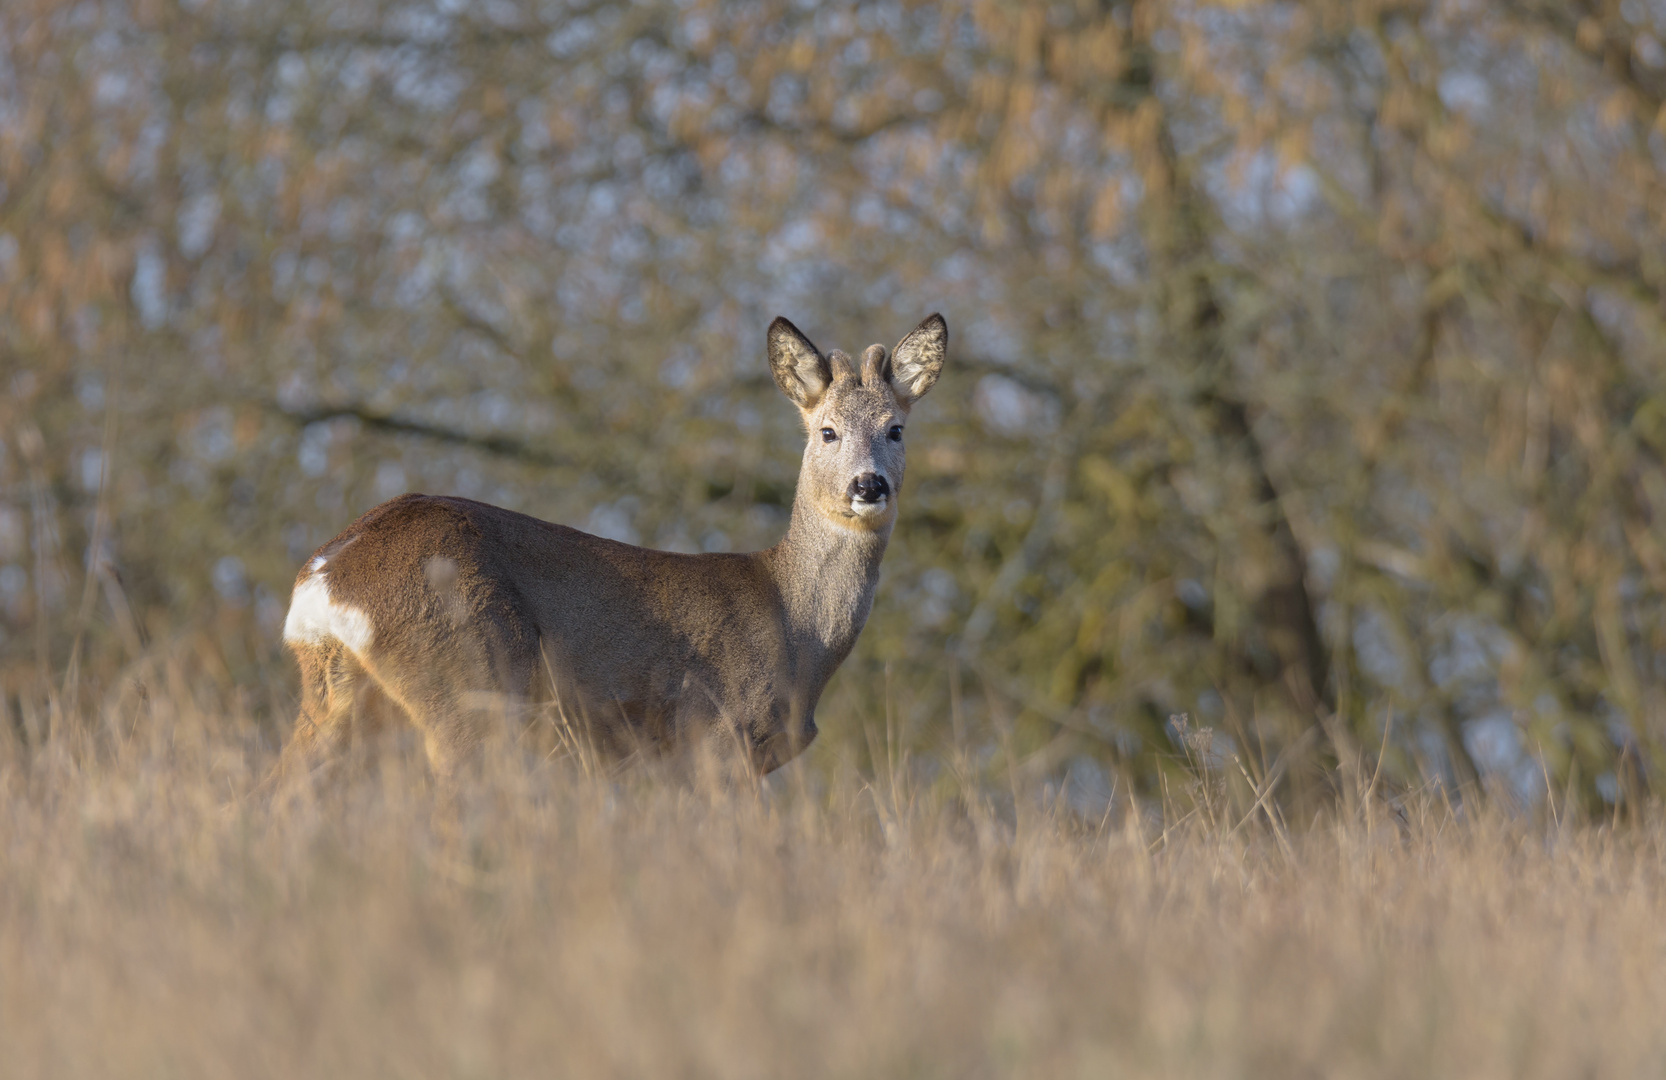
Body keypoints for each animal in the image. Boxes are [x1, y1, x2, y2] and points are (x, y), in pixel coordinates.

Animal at [279, 311, 946, 783]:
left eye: (896, 429)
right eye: (827, 431)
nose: (868, 485)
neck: (796, 627)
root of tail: (323, 577)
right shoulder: (715, 738)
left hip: (340, 700)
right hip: (470, 677)